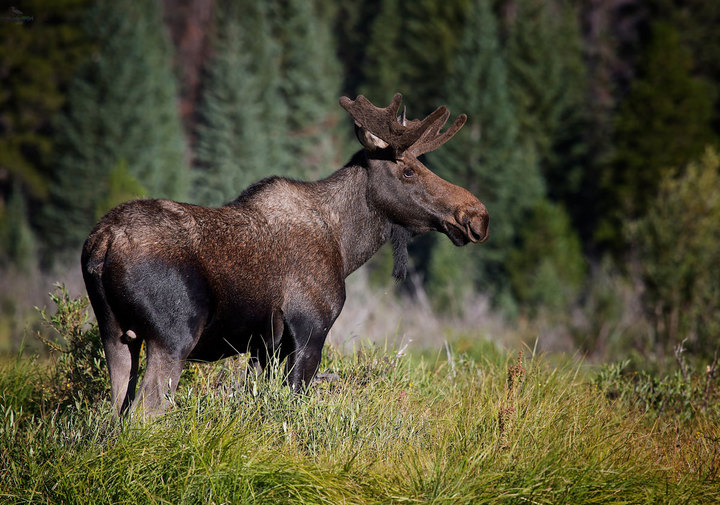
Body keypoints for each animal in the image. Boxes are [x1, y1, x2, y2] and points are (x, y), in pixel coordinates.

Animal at [81, 93, 489, 417]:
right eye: (408, 171)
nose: (477, 216)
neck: (346, 246)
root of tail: (104, 242)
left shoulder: (263, 348)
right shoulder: (310, 330)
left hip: (114, 334)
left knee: (115, 412)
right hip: (173, 336)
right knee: (144, 412)